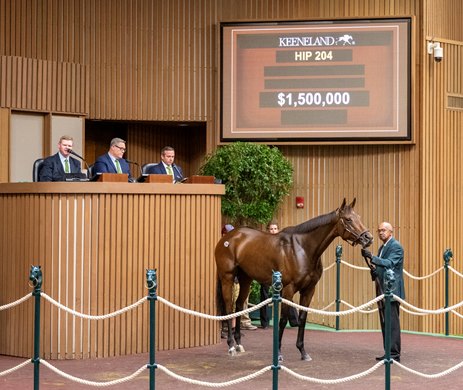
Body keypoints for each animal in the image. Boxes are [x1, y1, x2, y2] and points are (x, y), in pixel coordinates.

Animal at [217, 200, 374, 362]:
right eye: (348, 219)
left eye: (358, 217)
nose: (368, 238)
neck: (303, 248)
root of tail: (229, 237)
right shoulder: (288, 289)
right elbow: (283, 319)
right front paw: (279, 353)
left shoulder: (309, 290)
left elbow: (302, 318)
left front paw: (303, 351)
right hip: (227, 277)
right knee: (228, 307)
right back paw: (231, 346)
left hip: (245, 279)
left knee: (239, 305)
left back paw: (238, 344)